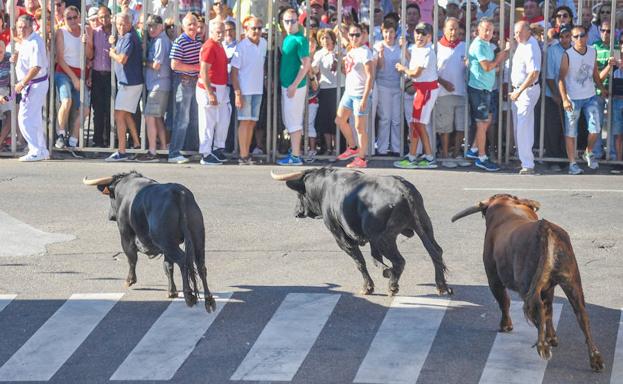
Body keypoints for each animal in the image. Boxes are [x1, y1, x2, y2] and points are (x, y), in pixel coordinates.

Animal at [83, 171, 217, 312]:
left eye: (110, 196)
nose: (110, 216)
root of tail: (178, 193)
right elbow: (168, 266)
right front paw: (172, 291)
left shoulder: (126, 234)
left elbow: (131, 257)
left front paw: (130, 280)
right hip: (196, 236)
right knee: (200, 263)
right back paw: (209, 300)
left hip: (168, 242)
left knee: (183, 261)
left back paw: (189, 296)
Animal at [272, 168, 454, 296]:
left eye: (299, 194)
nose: (296, 212)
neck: (324, 187)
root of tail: (403, 189)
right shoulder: (371, 239)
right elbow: (375, 258)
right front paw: (385, 271)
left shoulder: (342, 238)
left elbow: (360, 262)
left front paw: (368, 287)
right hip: (424, 226)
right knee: (436, 252)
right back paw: (441, 286)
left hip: (385, 238)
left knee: (400, 261)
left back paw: (393, 286)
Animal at [454, 195, 604, 372]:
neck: (508, 208)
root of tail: (546, 228)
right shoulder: (549, 287)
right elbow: (550, 310)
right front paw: (552, 337)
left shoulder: (493, 278)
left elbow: (504, 302)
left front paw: (506, 326)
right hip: (572, 280)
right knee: (581, 314)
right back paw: (594, 358)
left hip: (527, 285)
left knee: (538, 309)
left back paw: (543, 346)